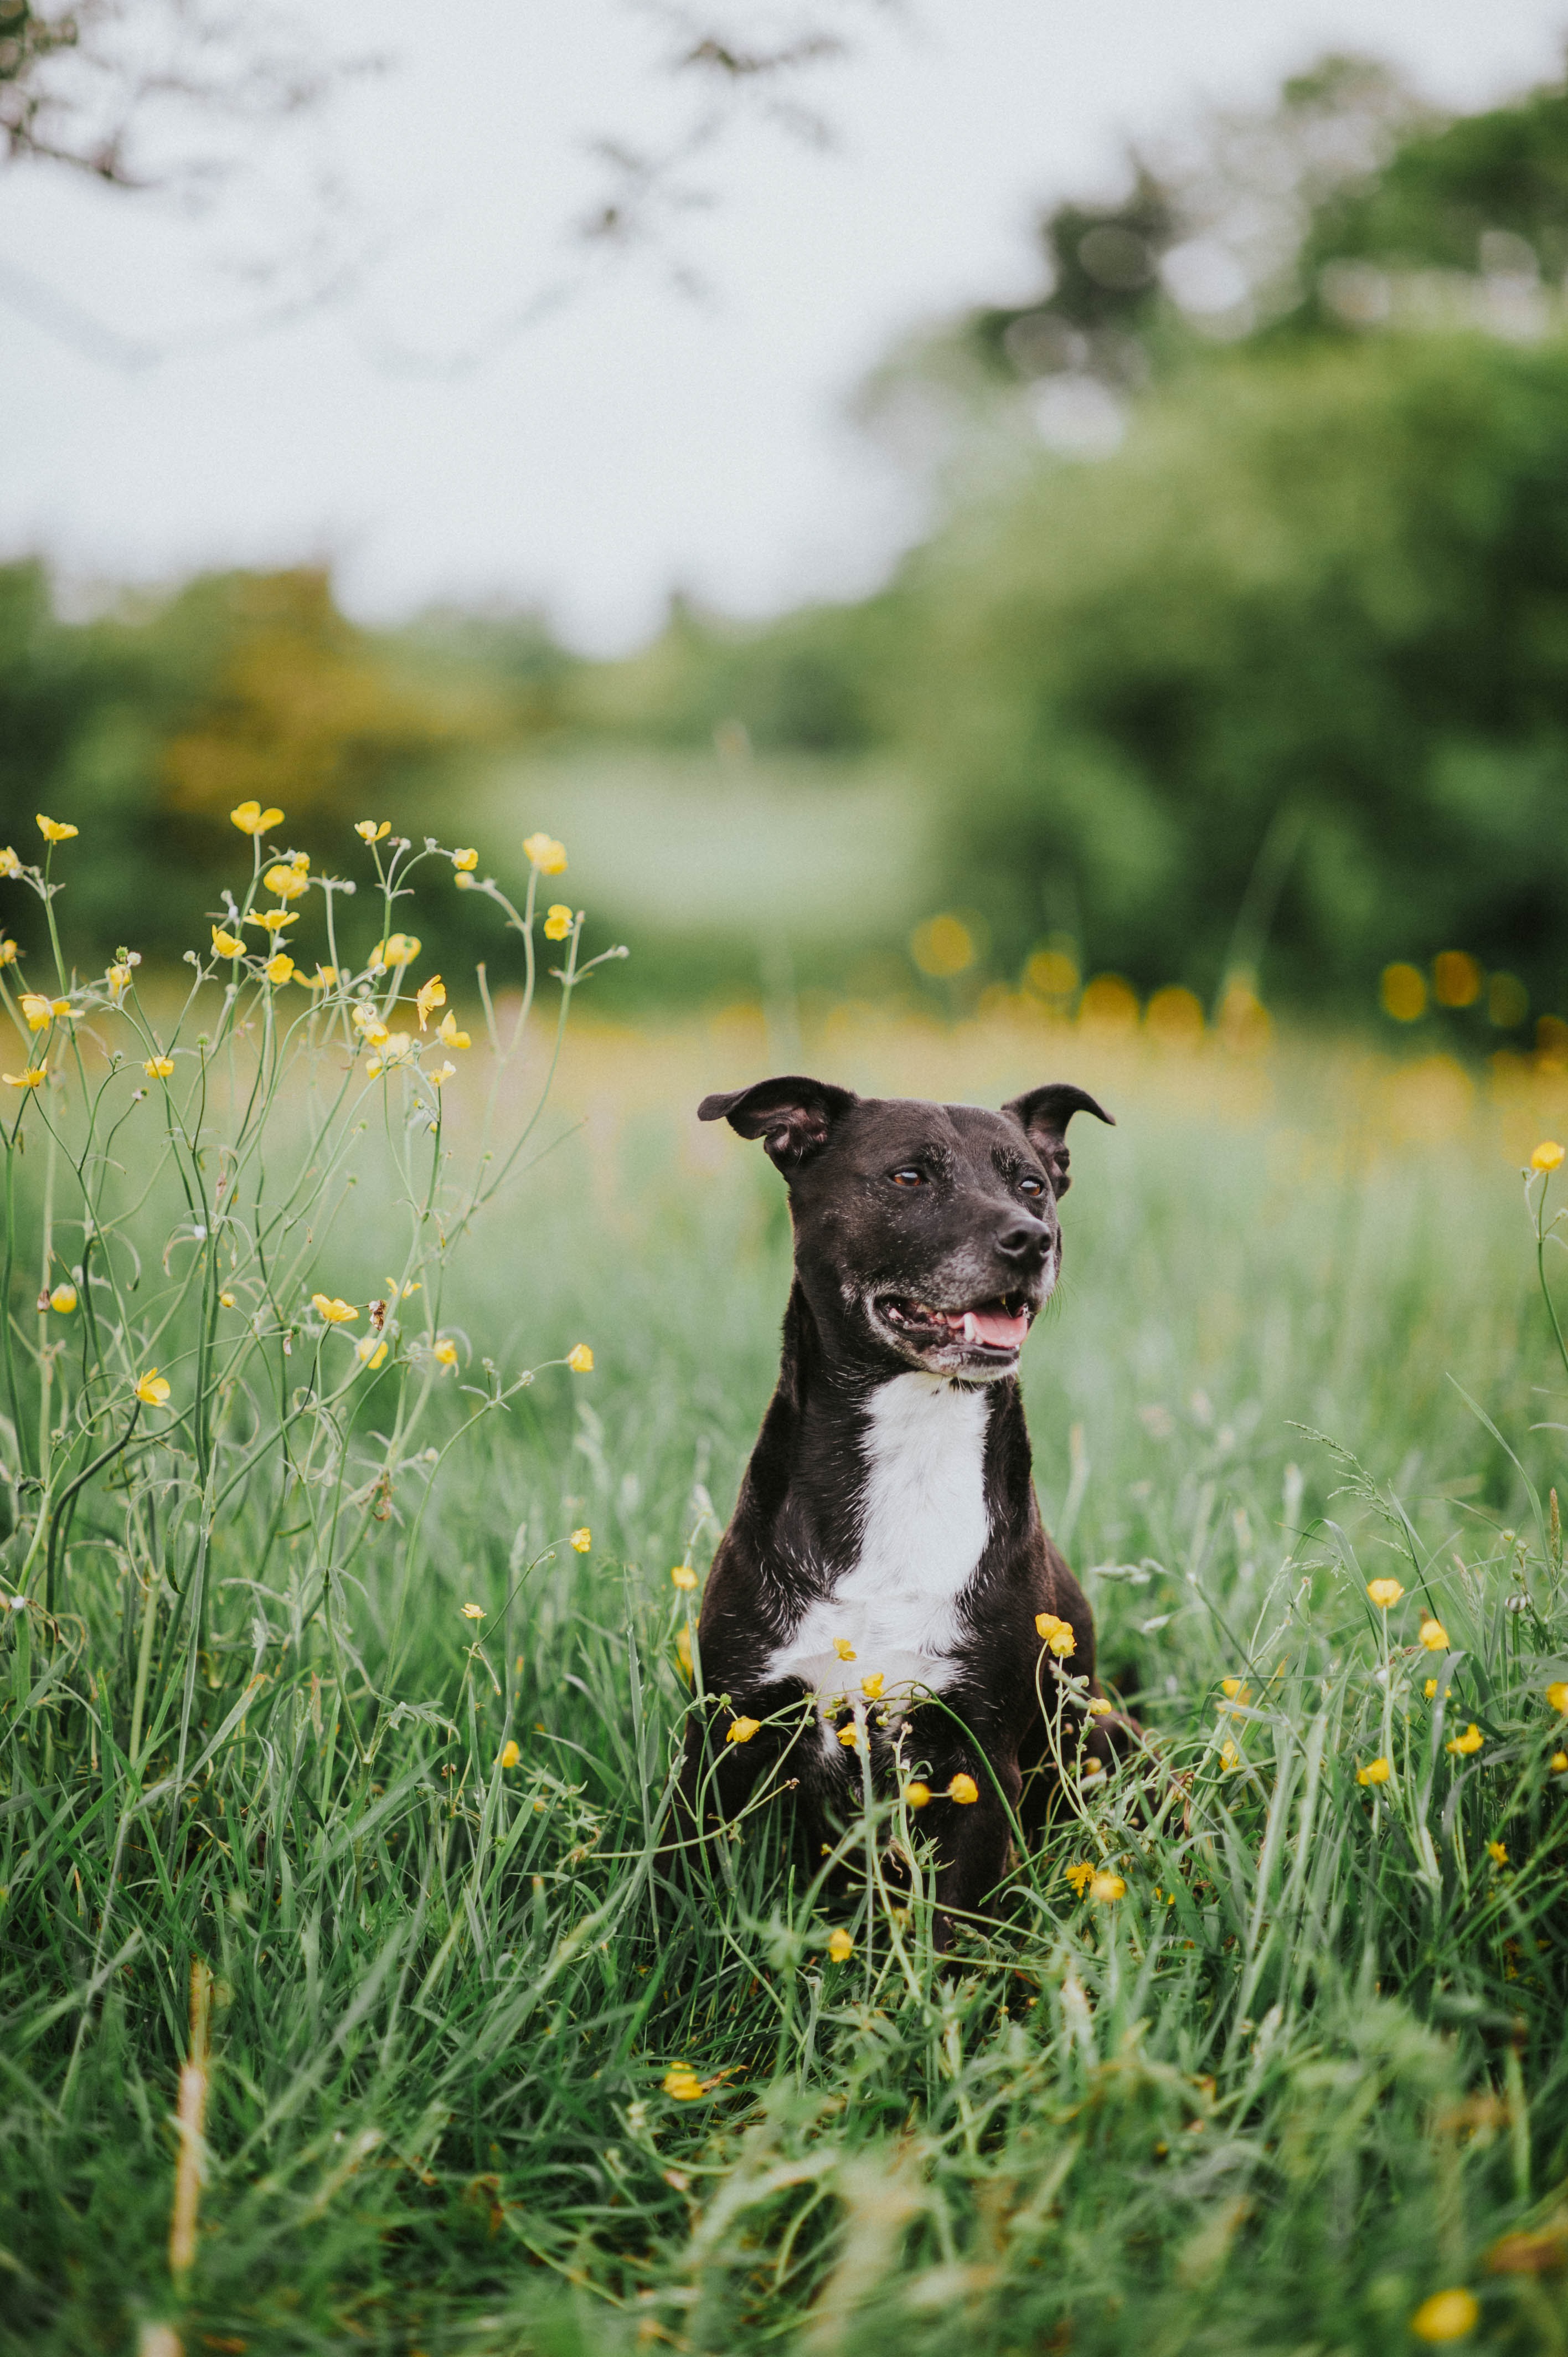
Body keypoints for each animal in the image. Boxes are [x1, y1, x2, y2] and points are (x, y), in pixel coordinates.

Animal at [664, 1079, 1132, 1942]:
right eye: (909, 1177)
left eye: (1032, 1184)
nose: (1030, 1240)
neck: (914, 1444)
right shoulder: (726, 1733)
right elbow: (666, 1899)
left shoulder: (977, 1760)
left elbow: (950, 1938)